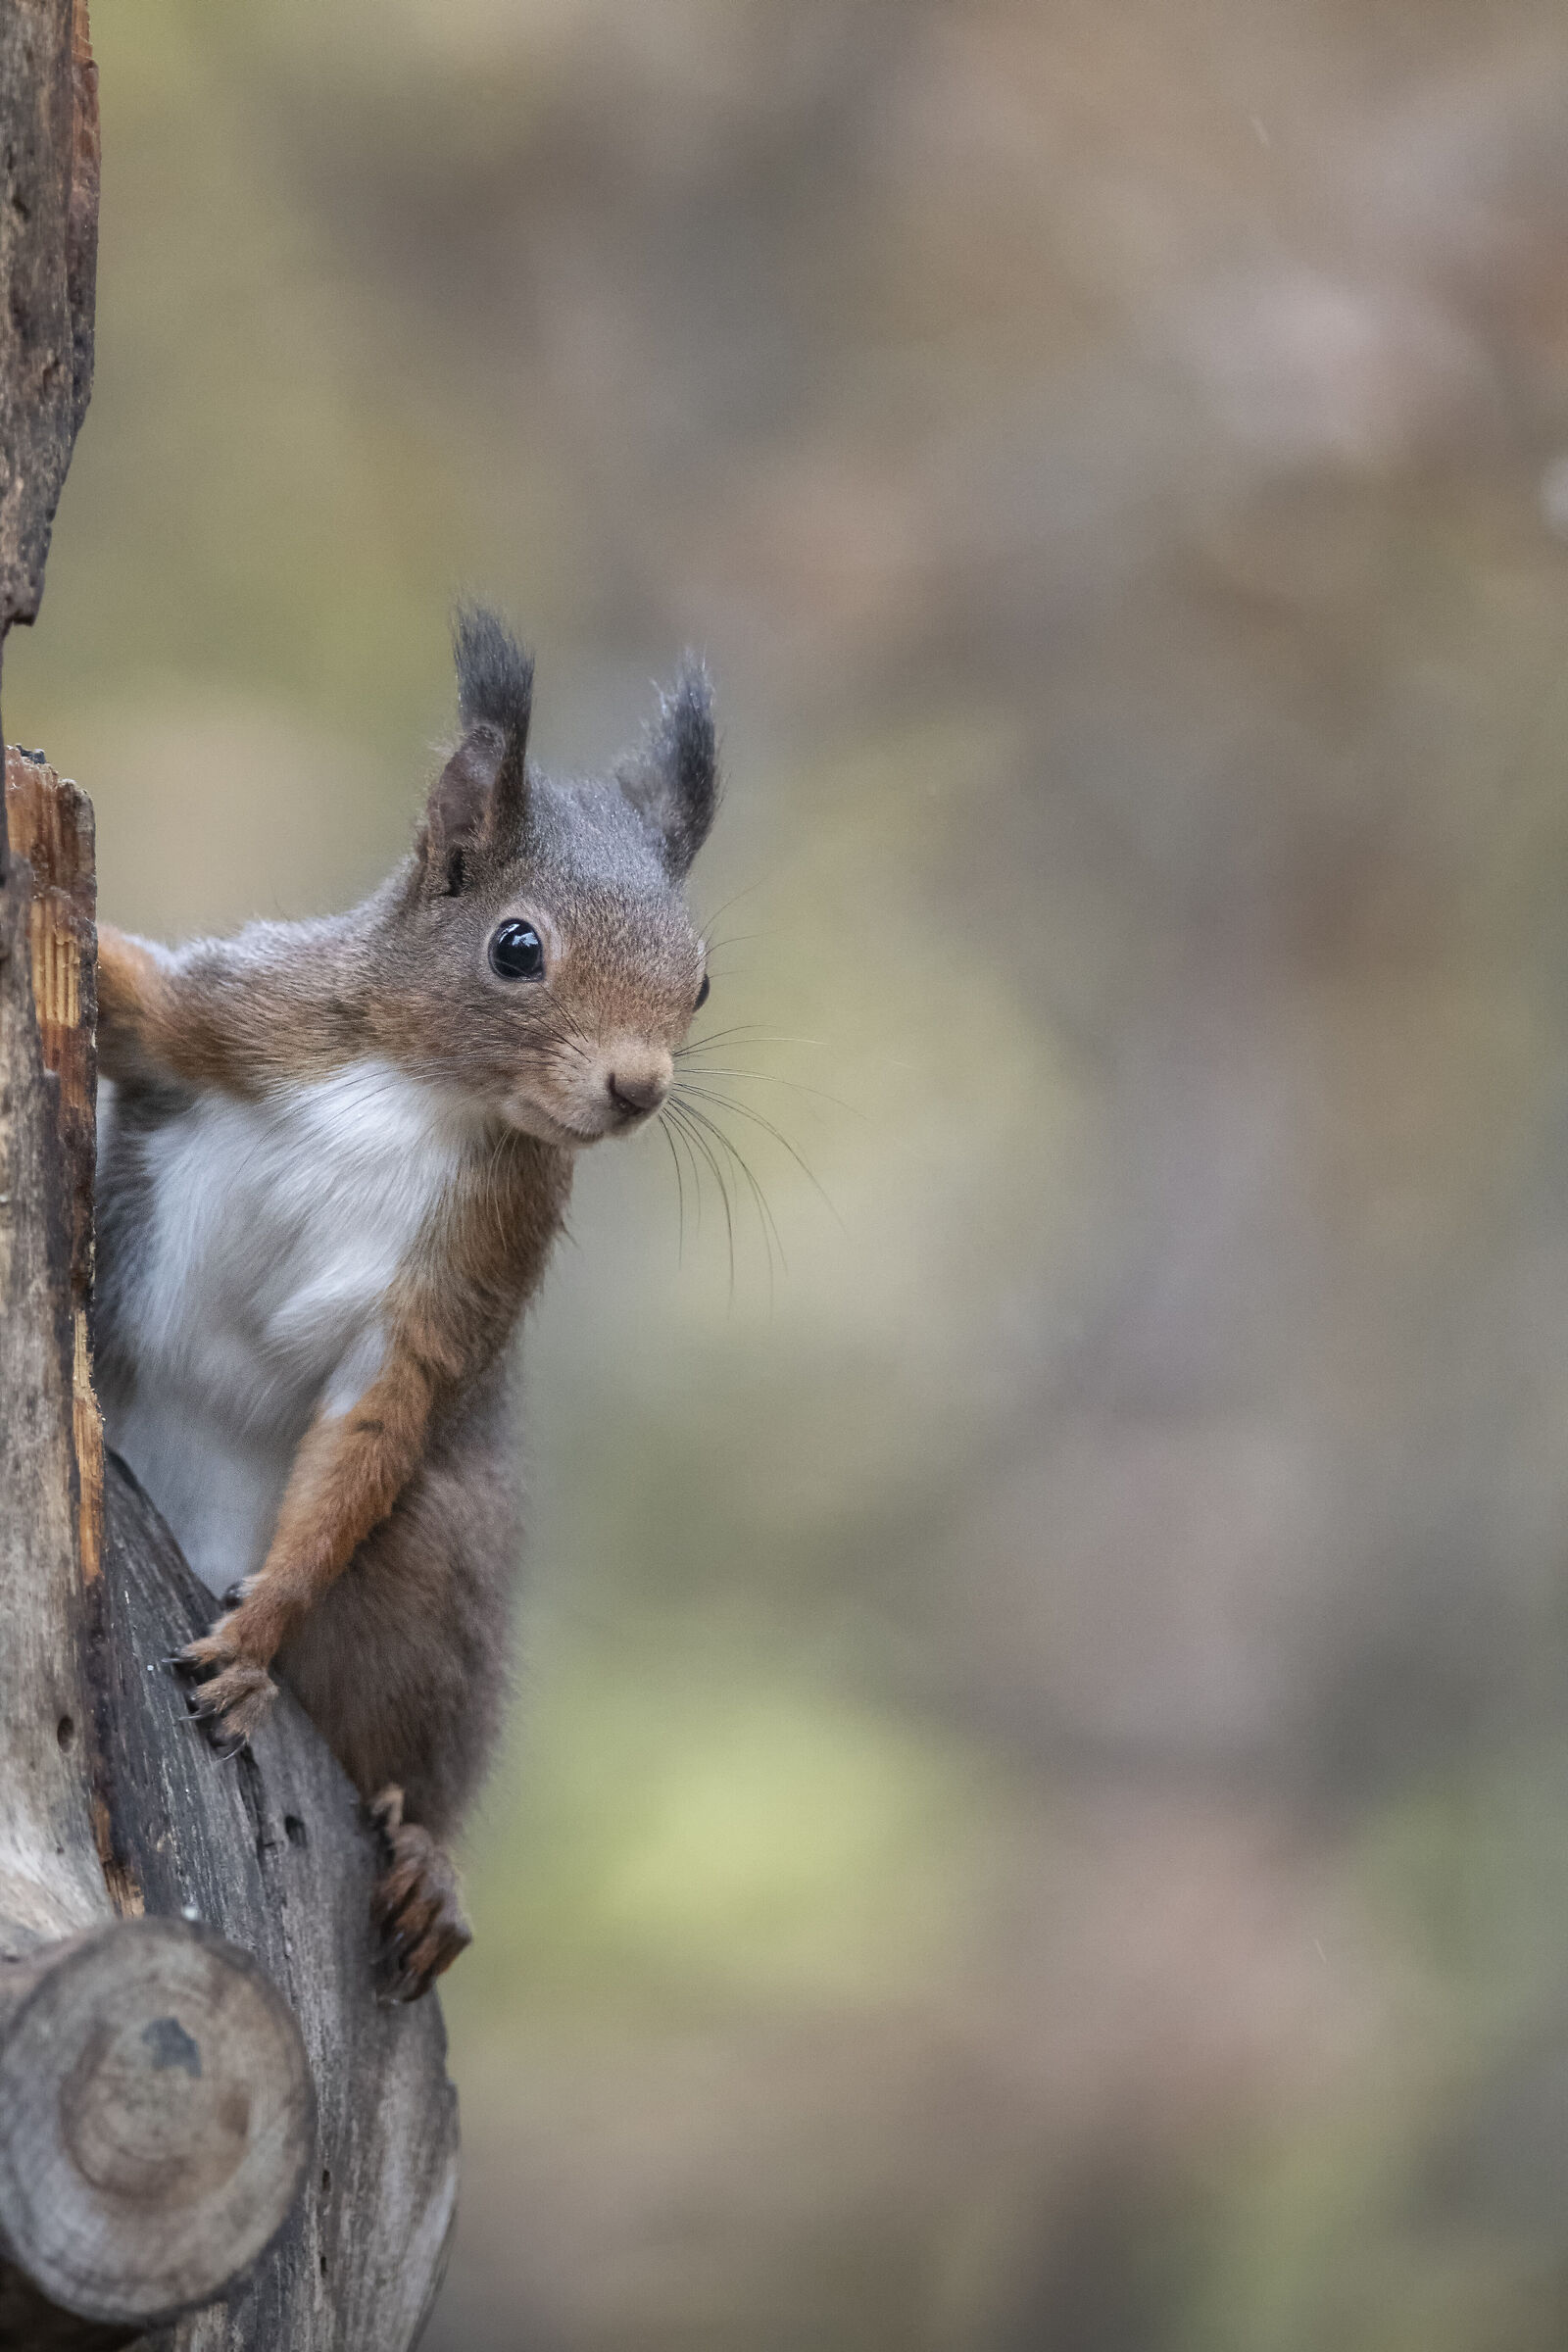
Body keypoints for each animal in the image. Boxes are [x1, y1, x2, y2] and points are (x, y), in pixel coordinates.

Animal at [92, 607, 719, 2000]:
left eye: (702, 979)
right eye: (516, 946)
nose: (638, 1088)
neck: (423, 1089)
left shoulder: (472, 1264)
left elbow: (381, 1417)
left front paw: (255, 1636)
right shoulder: (240, 1016)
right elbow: (131, 993)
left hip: (437, 1566)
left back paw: (425, 1859)